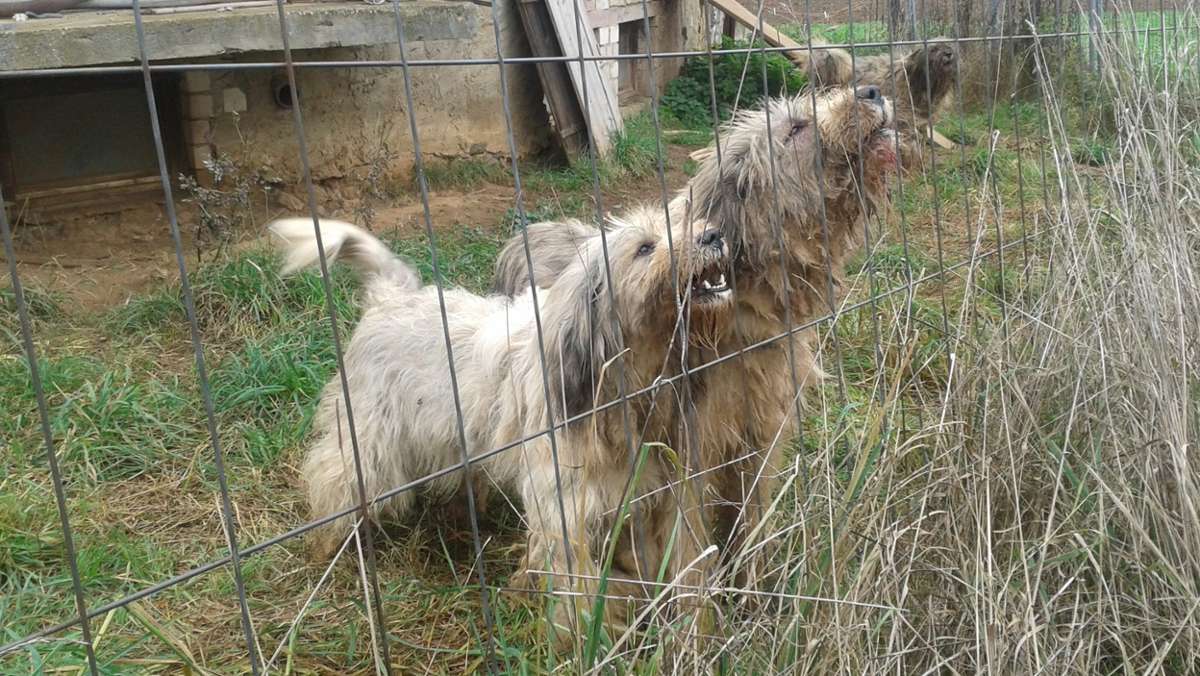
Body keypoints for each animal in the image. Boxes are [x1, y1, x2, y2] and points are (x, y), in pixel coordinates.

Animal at [492, 87, 897, 588]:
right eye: (796, 127)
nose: (872, 91)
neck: (741, 317)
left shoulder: (758, 443)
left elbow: (751, 518)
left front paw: (755, 587)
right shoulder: (681, 460)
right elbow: (686, 546)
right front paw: (697, 606)